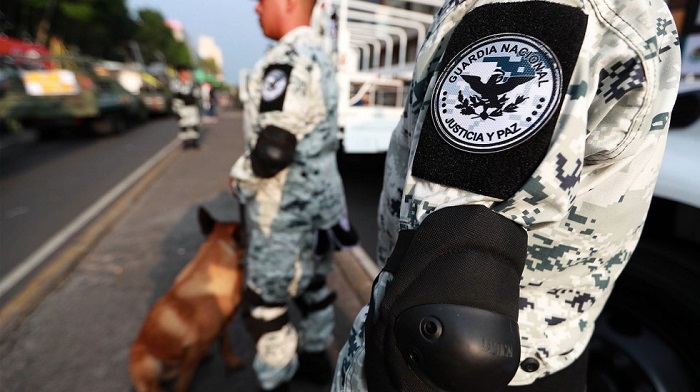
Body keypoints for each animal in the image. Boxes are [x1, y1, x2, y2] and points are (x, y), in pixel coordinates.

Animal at [130, 207, 247, 390]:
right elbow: (184, 381)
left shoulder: (223, 327)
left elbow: (225, 346)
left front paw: (232, 362)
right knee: (156, 385)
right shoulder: (194, 348)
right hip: (149, 364)